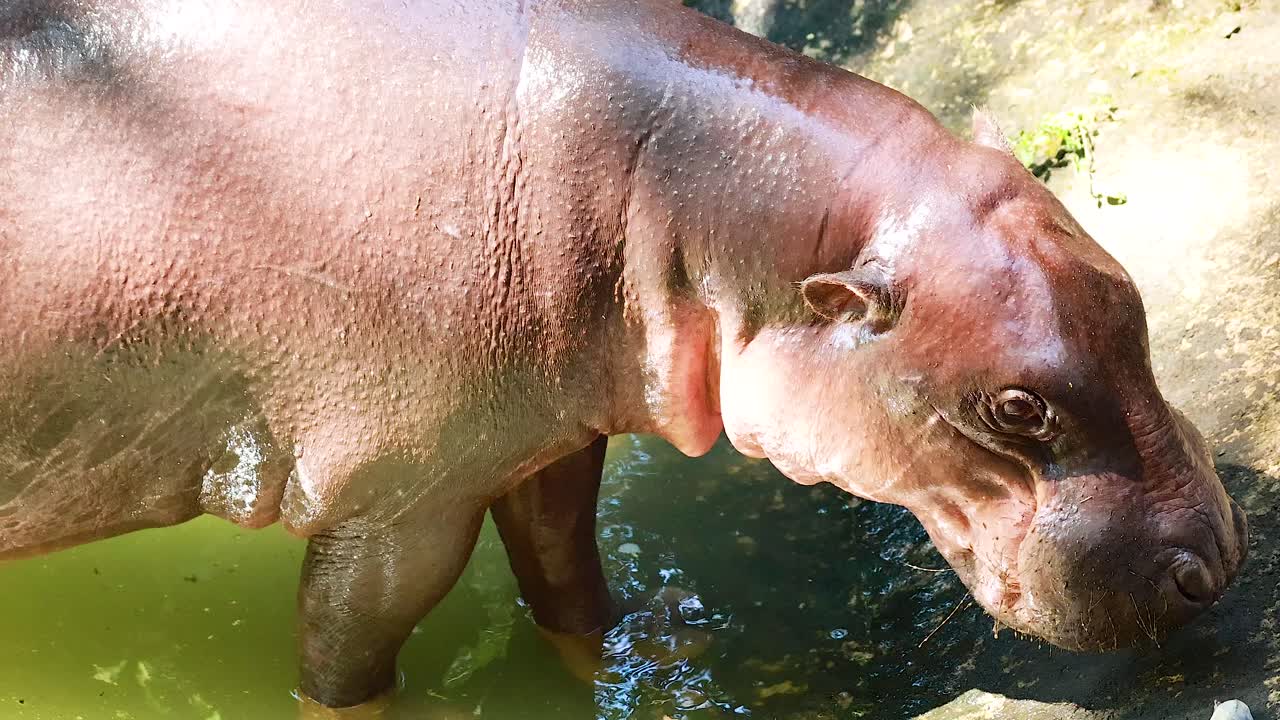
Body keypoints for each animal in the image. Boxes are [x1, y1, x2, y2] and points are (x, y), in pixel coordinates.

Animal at [0, 0, 1249, 708]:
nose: (1221, 564)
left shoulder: (541, 438)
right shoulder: (399, 500)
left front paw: (642, 664)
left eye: (1126, 297)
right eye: (1013, 408)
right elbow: (347, 658)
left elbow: (568, 581)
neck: (688, 195)